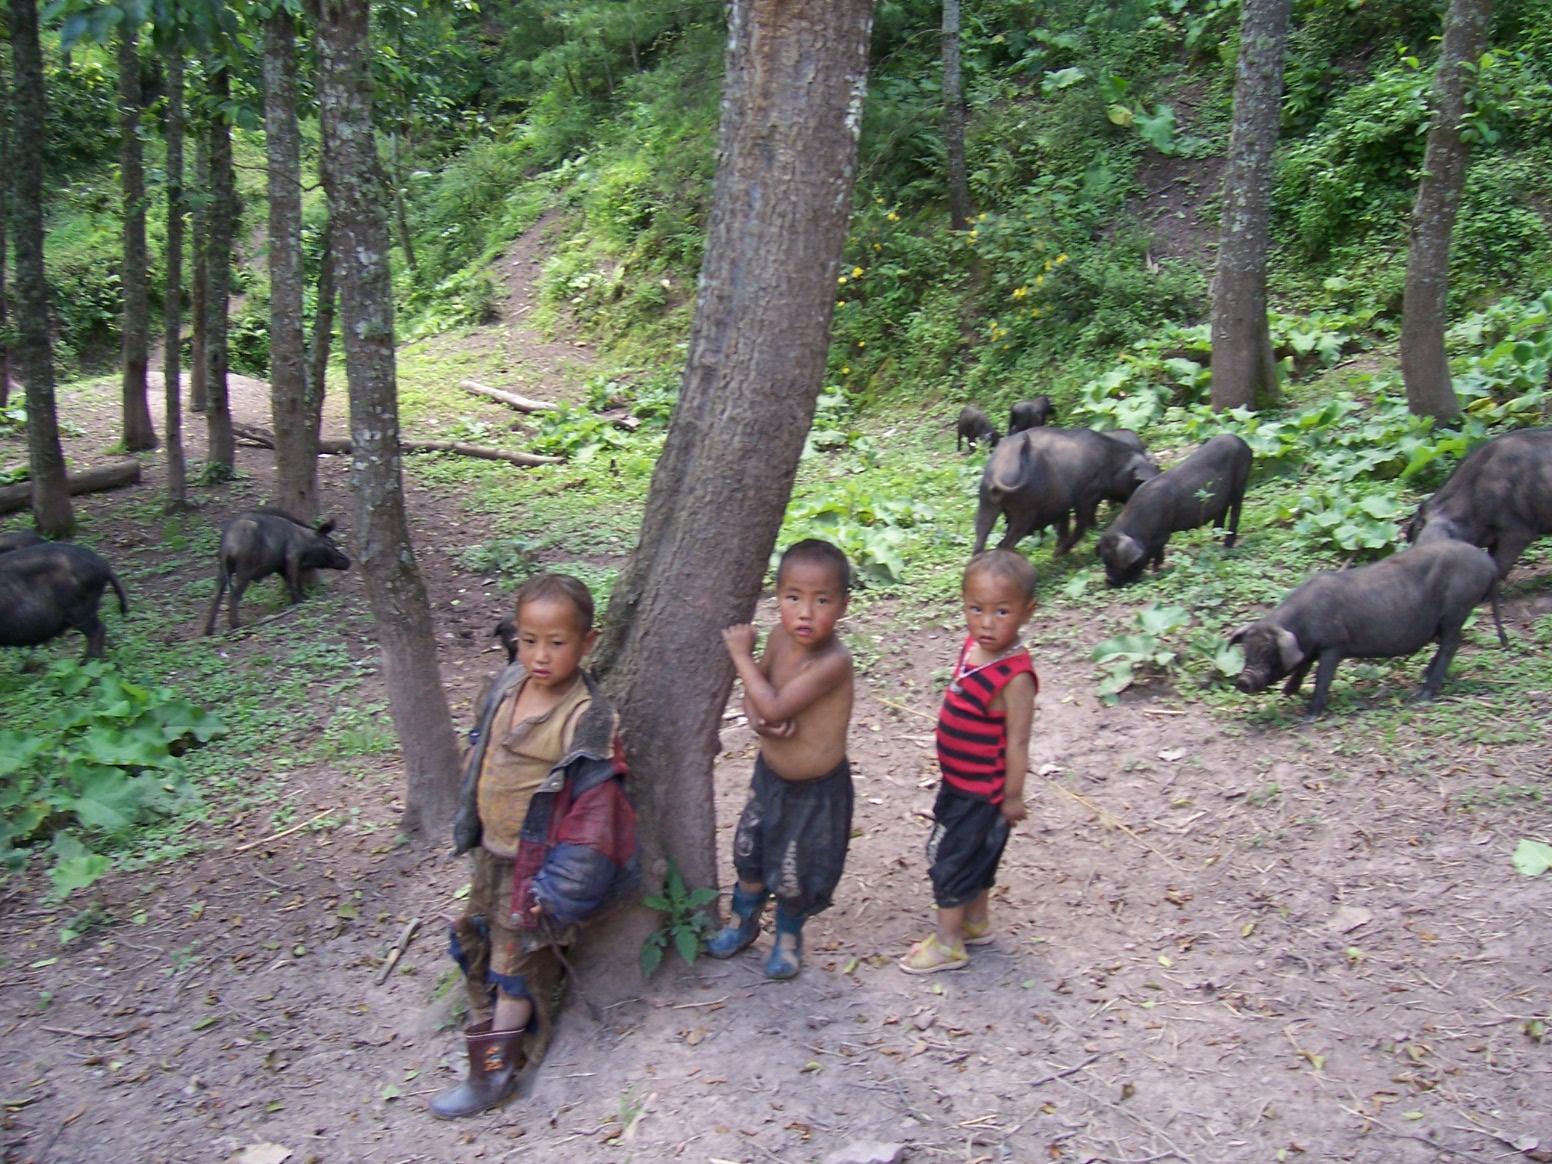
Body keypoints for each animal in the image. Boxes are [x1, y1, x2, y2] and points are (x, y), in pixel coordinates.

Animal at [204, 509, 351, 634]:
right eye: (330, 542)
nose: (347, 560)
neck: (306, 542)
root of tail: (227, 546)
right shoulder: (292, 556)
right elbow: (293, 580)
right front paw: (300, 601)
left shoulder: (280, 566)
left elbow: (289, 580)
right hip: (244, 568)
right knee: (234, 595)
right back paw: (238, 627)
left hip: (222, 569)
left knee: (216, 596)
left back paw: (208, 632)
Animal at [972, 427, 1160, 555]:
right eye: (1136, 482)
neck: (1112, 464)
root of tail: (1000, 469)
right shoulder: (1087, 497)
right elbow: (1080, 526)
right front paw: (1059, 553)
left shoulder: (1062, 503)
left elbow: (1065, 525)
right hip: (1024, 513)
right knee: (1004, 544)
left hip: (986, 503)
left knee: (979, 542)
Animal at [1097, 434, 1253, 585]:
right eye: (1105, 561)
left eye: (1123, 565)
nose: (1109, 581)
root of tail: (1243, 443)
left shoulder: (1163, 533)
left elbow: (1158, 550)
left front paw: (1156, 570)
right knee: (1223, 509)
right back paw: (1215, 539)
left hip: (1240, 480)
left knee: (1236, 510)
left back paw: (1227, 546)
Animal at [1228, 540, 1504, 720]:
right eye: (1247, 652)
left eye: (1269, 653)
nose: (1243, 680)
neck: (1301, 626)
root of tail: (1490, 565)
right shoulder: (1311, 649)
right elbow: (1302, 668)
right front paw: (1287, 694)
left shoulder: (1333, 645)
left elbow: (1322, 677)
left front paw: (1309, 715)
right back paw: (1424, 677)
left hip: (1458, 607)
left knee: (1452, 643)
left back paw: (1423, 694)